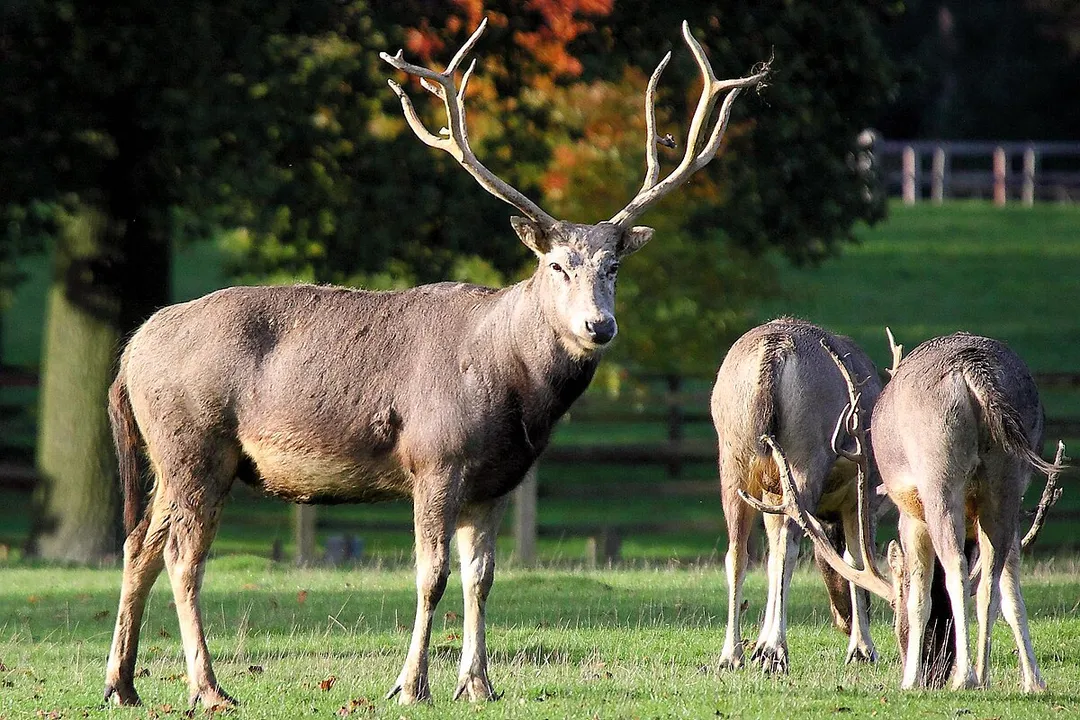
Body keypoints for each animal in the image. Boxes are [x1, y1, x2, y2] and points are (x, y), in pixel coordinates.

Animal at [102, 18, 771, 709]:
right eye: (557, 265)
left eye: (613, 266)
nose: (599, 326)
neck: (514, 391)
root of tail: (129, 353)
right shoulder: (435, 458)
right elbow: (433, 575)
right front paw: (410, 683)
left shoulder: (499, 480)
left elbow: (482, 576)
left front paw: (477, 683)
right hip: (194, 443)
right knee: (183, 557)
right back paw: (208, 689)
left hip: (170, 457)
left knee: (138, 544)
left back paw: (122, 685)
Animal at [711, 318, 885, 673]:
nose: (843, 621)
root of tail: (774, 351)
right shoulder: (862, 493)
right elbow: (857, 558)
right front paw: (862, 649)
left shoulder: (771, 494)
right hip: (806, 453)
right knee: (788, 543)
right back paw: (775, 650)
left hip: (733, 459)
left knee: (738, 552)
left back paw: (732, 654)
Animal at [750, 331, 1066, 692]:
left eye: (893, 611)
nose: (934, 675)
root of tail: (972, 371)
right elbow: (1010, 591)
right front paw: (1033, 681)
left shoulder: (910, 516)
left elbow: (919, 597)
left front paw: (910, 678)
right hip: (1007, 480)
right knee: (990, 577)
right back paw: (985, 676)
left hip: (937, 472)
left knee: (956, 566)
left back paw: (965, 678)